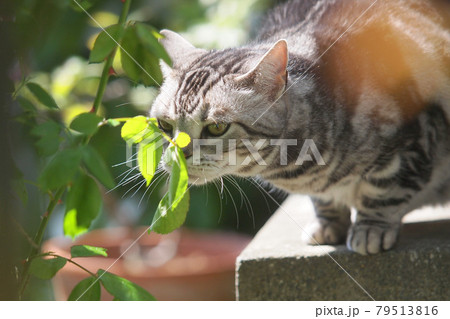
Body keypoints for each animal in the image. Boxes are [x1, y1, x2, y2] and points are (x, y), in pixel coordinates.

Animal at [151, 0, 450, 255]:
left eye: (216, 128)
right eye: (164, 124)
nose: (180, 155)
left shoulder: (412, 141)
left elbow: (383, 191)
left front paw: (370, 229)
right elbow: (323, 201)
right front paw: (328, 224)